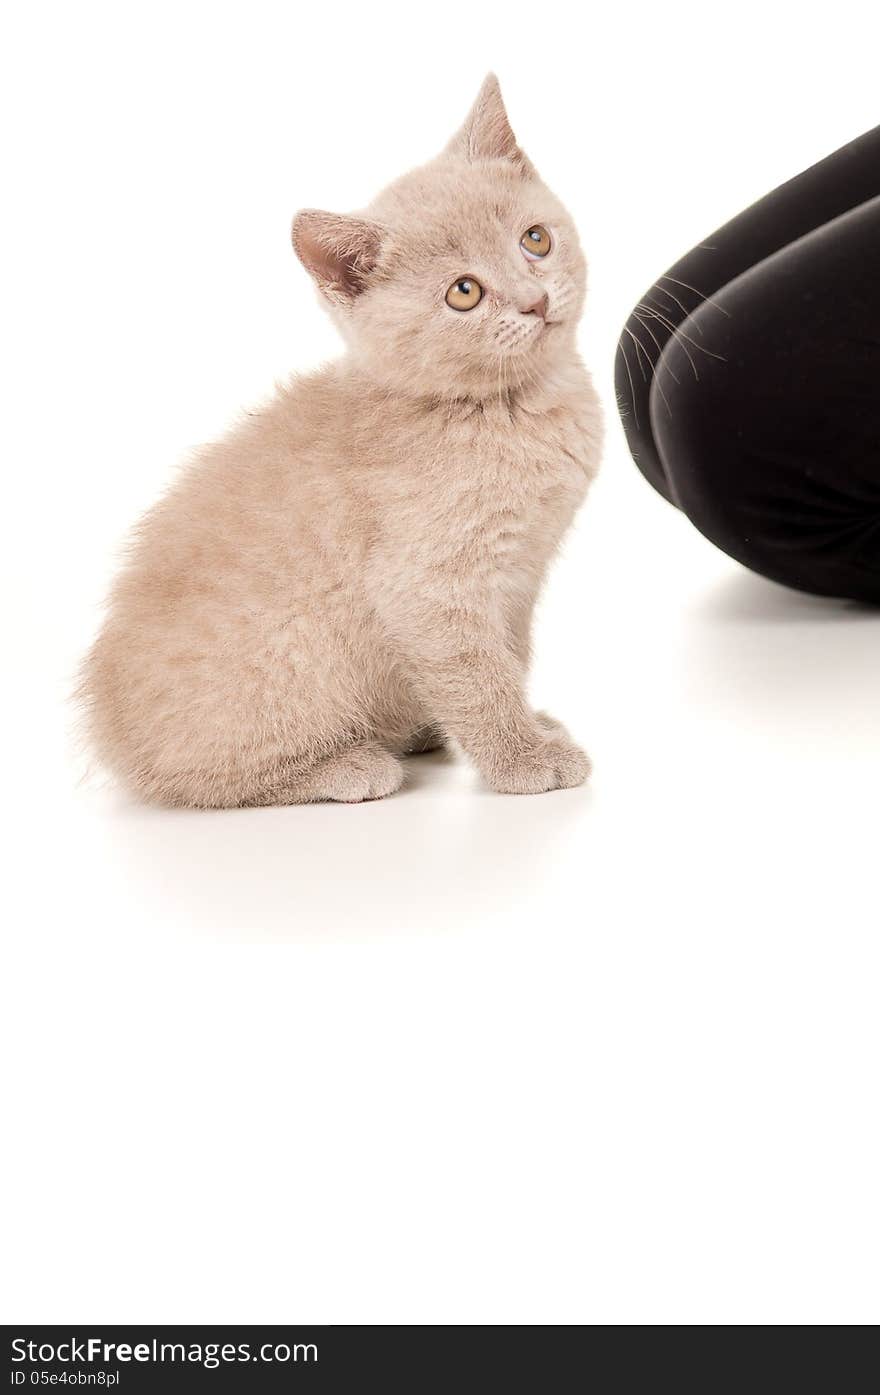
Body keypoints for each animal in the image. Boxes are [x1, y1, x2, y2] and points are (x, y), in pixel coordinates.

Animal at [79, 79, 605, 809]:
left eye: (535, 239)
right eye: (463, 292)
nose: (535, 300)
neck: (505, 407)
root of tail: (110, 735)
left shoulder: (518, 579)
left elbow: (510, 655)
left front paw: (529, 725)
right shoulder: (426, 586)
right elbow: (478, 674)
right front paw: (522, 756)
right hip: (288, 662)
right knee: (201, 780)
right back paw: (349, 765)